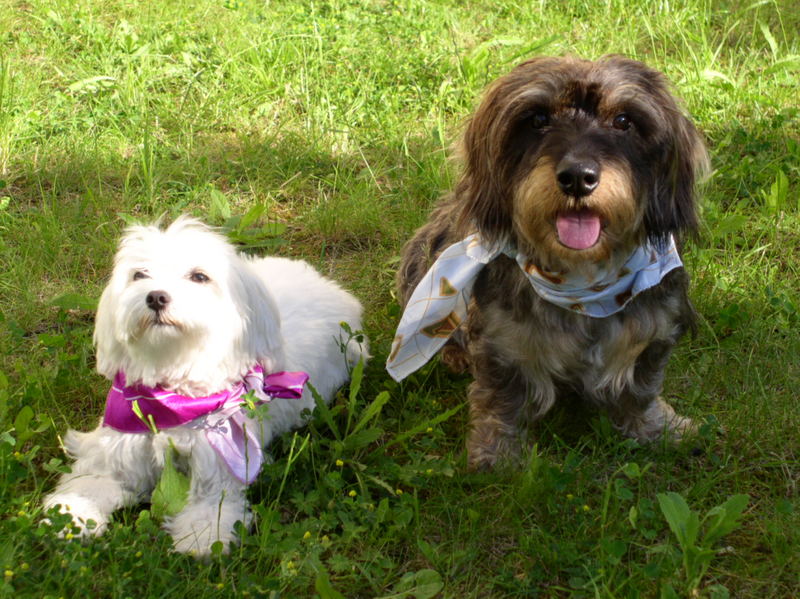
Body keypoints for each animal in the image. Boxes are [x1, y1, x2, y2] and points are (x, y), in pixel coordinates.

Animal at [44, 217, 368, 556]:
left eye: (199, 276)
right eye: (139, 274)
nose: (156, 297)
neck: (171, 399)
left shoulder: (220, 462)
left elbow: (212, 506)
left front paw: (200, 538)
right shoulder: (116, 448)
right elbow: (91, 481)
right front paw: (72, 513)